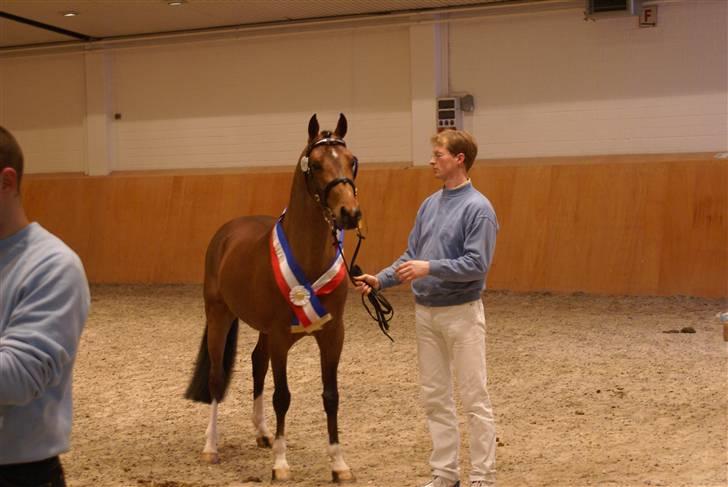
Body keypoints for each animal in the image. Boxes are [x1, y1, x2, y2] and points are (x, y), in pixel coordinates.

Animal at [185, 114, 362, 484]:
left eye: (351, 160)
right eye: (317, 164)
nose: (349, 213)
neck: (309, 259)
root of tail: (226, 233)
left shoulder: (332, 336)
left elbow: (331, 396)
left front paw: (339, 464)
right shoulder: (282, 338)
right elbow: (282, 396)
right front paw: (281, 464)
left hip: (264, 331)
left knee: (257, 364)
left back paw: (263, 433)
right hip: (219, 316)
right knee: (216, 379)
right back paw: (211, 447)